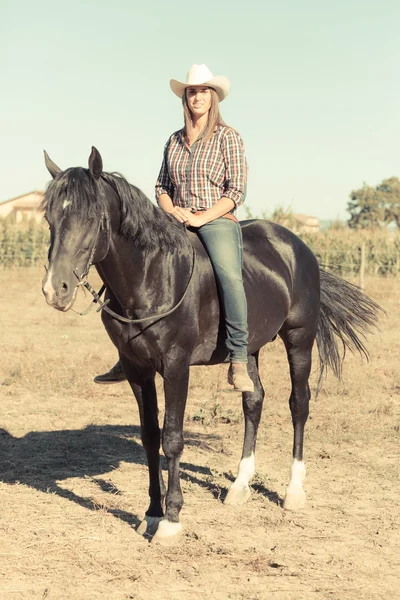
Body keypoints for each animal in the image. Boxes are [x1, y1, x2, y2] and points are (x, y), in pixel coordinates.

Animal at [42, 149, 380, 544]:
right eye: (50, 218)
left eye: (91, 218)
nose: (55, 290)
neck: (153, 275)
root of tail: (299, 248)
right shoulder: (137, 369)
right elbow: (149, 436)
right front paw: (152, 513)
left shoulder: (175, 366)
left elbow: (172, 438)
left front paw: (171, 520)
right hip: (249, 349)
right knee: (253, 401)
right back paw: (239, 486)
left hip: (299, 339)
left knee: (299, 404)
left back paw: (294, 492)